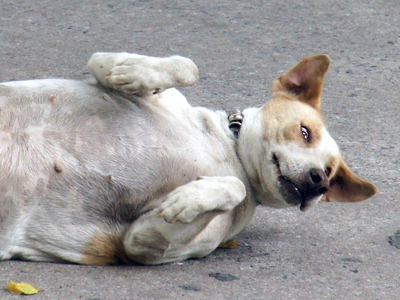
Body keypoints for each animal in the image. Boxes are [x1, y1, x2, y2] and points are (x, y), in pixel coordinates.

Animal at [0, 52, 376, 264]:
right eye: (304, 131)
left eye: (331, 171)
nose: (320, 181)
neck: (231, 155)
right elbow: (185, 65)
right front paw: (130, 71)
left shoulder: (141, 242)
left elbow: (234, 187)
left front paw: (187, 200)